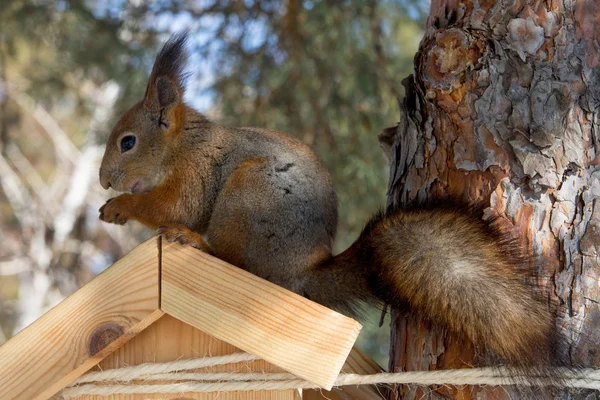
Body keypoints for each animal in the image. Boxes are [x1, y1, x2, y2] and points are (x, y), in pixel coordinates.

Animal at [98, 32, 564, 374]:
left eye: (128, 142)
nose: (104, 181)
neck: (182, 144)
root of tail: (303, 273)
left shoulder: (196, 170)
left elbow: (174, 207)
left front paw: (119, 208)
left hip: (247, 198)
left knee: (238, 261)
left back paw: (196, 242)